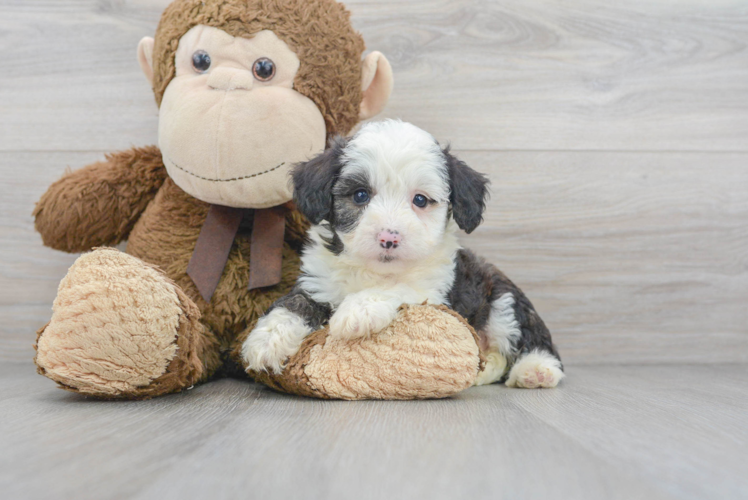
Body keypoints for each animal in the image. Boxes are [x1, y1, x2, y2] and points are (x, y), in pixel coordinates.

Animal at [243, 119, 564, 388]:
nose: (389, 237)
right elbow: (294, 303)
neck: (374, 270)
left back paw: (537, 370)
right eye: (360, 195)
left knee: (531, 337)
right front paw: (266, 340)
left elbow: (398, 287)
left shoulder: (434, 292)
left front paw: (359, 309)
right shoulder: (318, 282)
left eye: (420, 200)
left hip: (503, 301)